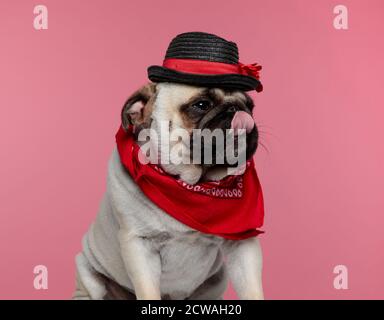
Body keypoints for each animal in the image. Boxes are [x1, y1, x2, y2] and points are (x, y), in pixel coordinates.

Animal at [72, 82, 264, 300]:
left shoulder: (242, 246)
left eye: (250, 106)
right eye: (201, 104)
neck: (190, 184)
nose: (238, 108)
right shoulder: (140, 246)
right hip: (88, 273)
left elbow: (251, 288)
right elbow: (148, 290)